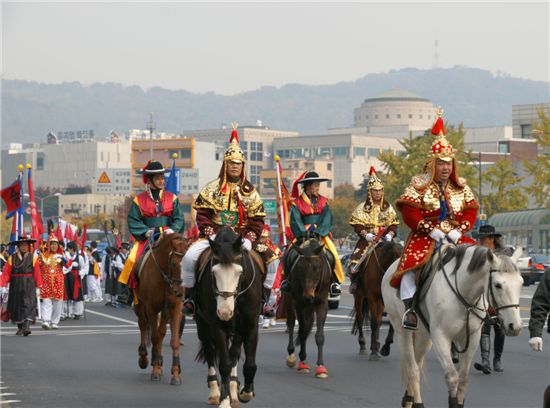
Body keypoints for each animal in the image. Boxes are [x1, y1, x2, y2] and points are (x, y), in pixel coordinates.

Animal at [133, 233, 192, 386]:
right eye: (174, 264)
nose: (180, 292)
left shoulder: (175, 307)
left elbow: (173, 341)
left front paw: (175, 373)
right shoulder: (151, 307)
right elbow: (154, 337)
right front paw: (154, 370)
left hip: (165, 311)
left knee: (161, 333)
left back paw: (159, 361)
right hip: (139, 304)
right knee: (143, 325)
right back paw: (145, 358)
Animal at [194, 226, 266, 408]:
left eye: (239, 272)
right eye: (214, 273)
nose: (225, 312)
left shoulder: (250, 324)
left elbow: (249, 364)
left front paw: (245, 393)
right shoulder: (217, 325)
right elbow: (224, 364)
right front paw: (224, 400)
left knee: (234, 353)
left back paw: (234, 391)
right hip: (203, 324)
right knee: (210, 351)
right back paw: (215, 392)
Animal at [284, 236, 332, 380]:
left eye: (317, 267)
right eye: (300, 268)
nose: (308, 296)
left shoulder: (322, 303)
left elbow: (319, 335)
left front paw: (321, 367)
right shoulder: (300, 303)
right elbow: (302, 331)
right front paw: (303, 363)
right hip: (289, 298)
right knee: (291, 322)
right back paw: (291, 355)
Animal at [382, 245, 524, 408]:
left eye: (521, 283)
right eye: (498, 285)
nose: (515, 326)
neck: (463, 293)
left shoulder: (472, 338)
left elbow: (463, 379)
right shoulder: (441, 337)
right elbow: (452, 377)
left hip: (424, 337)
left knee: (417, 363)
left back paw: (408, 399)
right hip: (402, 331)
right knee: (413, 370)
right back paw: (417, 402)